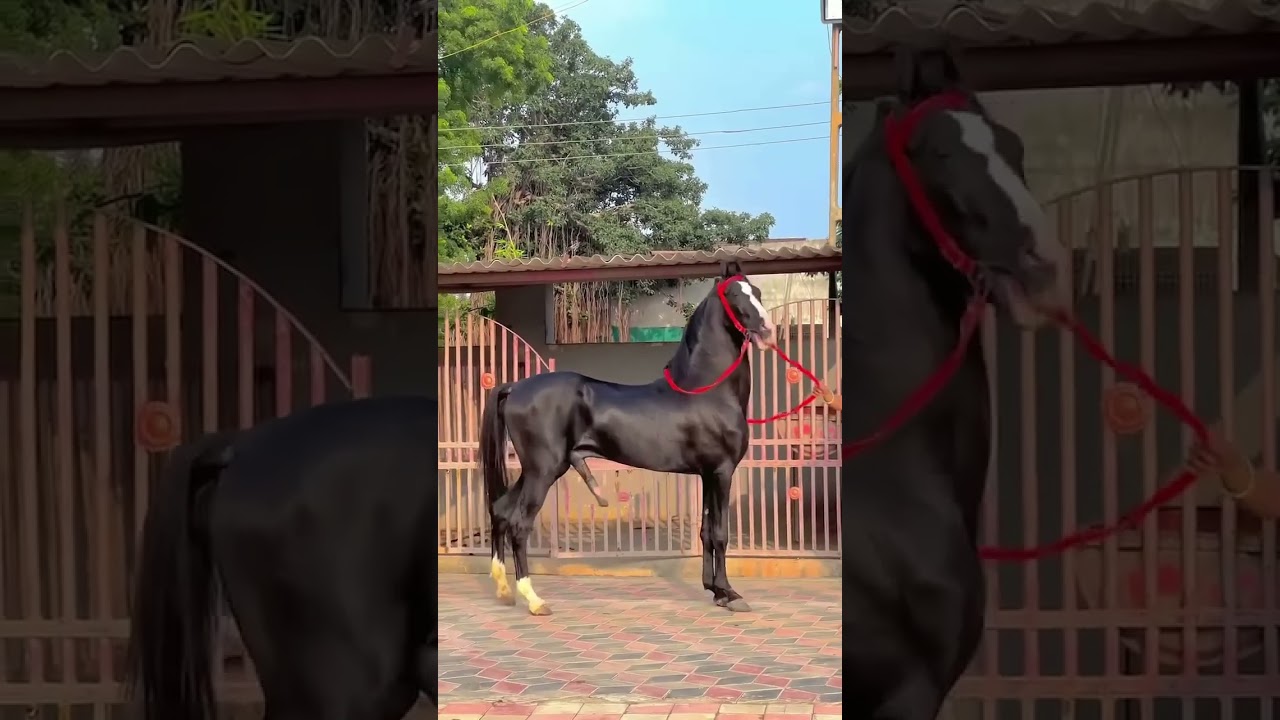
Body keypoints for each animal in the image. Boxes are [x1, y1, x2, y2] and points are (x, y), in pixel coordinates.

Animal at [480, 262, 774, 615]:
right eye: (733, 295)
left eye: (756, 291)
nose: (767, 329)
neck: (705, 389)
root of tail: (515, 387)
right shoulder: (722, 472)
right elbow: (720, 533)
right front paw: (730, 594)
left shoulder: (707, 474)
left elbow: (705, 531)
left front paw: (715, 591)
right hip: (543, 471)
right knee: (519, 523)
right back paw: (535, 600)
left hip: (536, 470)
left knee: (500, 511)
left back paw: (503, 589)